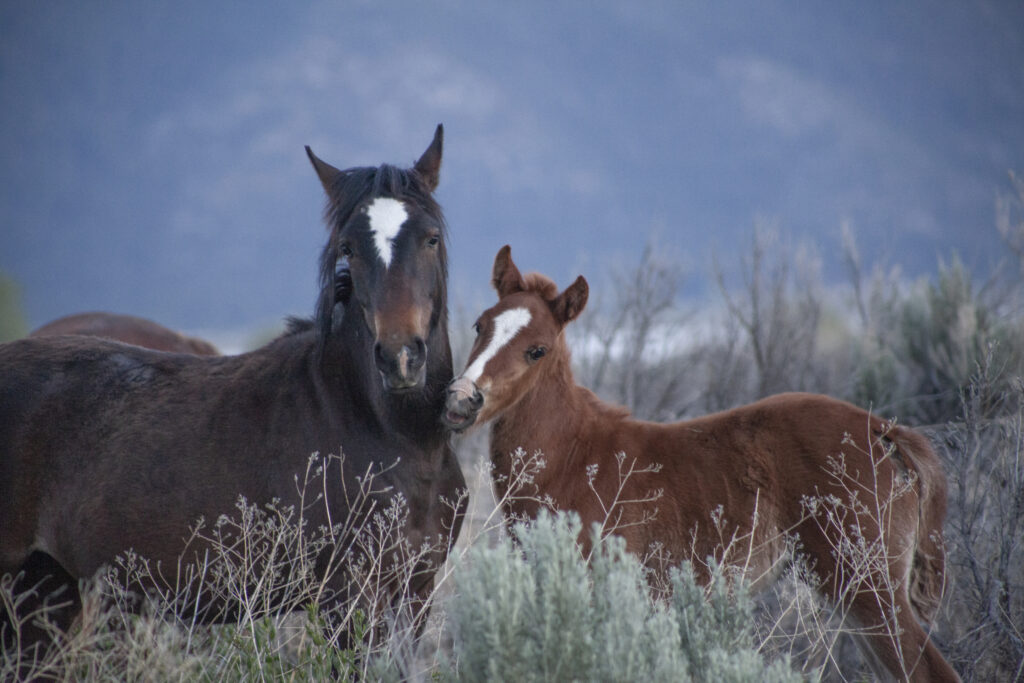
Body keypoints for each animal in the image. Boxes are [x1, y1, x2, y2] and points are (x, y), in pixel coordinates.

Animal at [0, 126, 466, 663]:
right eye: (349, 248)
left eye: (431, 238)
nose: (400, 358)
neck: (388, 433)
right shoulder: (347, 597)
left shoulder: (416, 592)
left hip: (44, 589)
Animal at [442, 245, 959, 683]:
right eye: (479, 326)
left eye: (538, 350)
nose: (461, 400)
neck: (574, 456)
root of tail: (884, 431)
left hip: (868, 586)